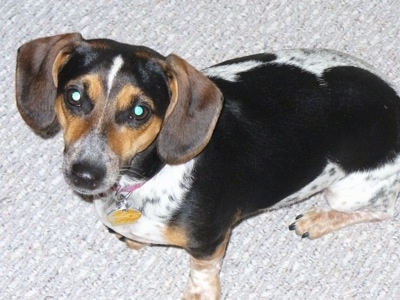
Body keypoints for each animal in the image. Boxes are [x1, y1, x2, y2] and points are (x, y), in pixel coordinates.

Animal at [14, 32, 400, 298]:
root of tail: (392, 98)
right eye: (74, 96)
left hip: (349, 190)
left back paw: (317, 220)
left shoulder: (210, 241)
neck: (151, 173)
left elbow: (202, 272)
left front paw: (198, 293)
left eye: (139, 111)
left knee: (380, 210)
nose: (85, 174)